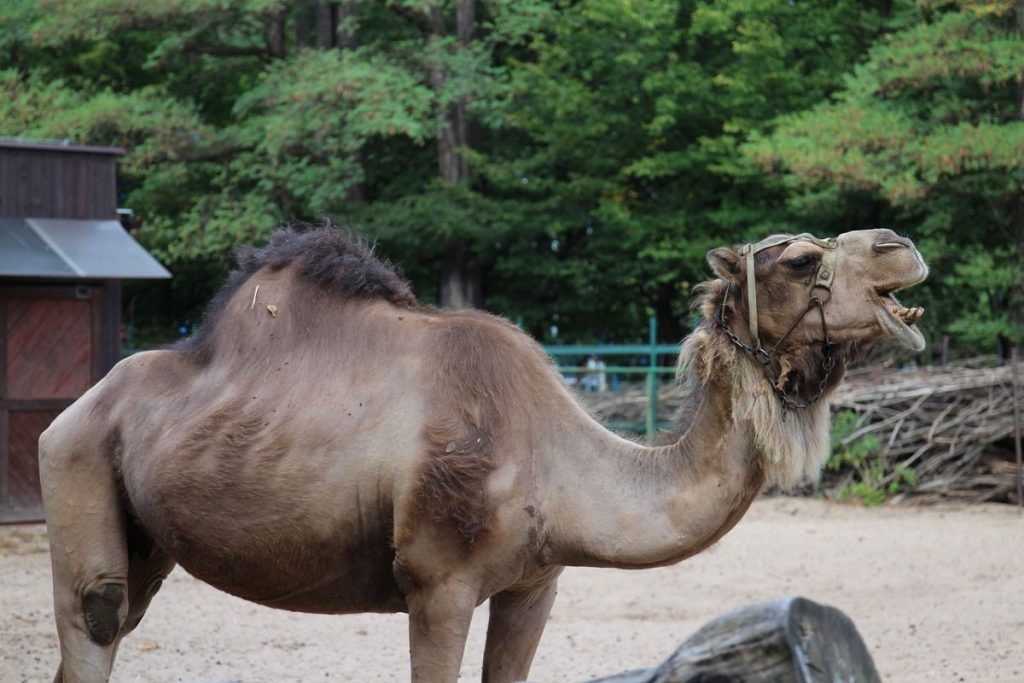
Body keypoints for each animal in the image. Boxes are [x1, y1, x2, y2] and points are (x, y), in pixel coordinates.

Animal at [39, 224, 929, 679]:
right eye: (803, 258)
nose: (902, 245)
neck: (559, 457)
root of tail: (73, 407)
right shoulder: (438, 583)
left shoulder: (535, 584)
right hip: (75, 462)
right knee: (95, 614)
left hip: (149, 534)